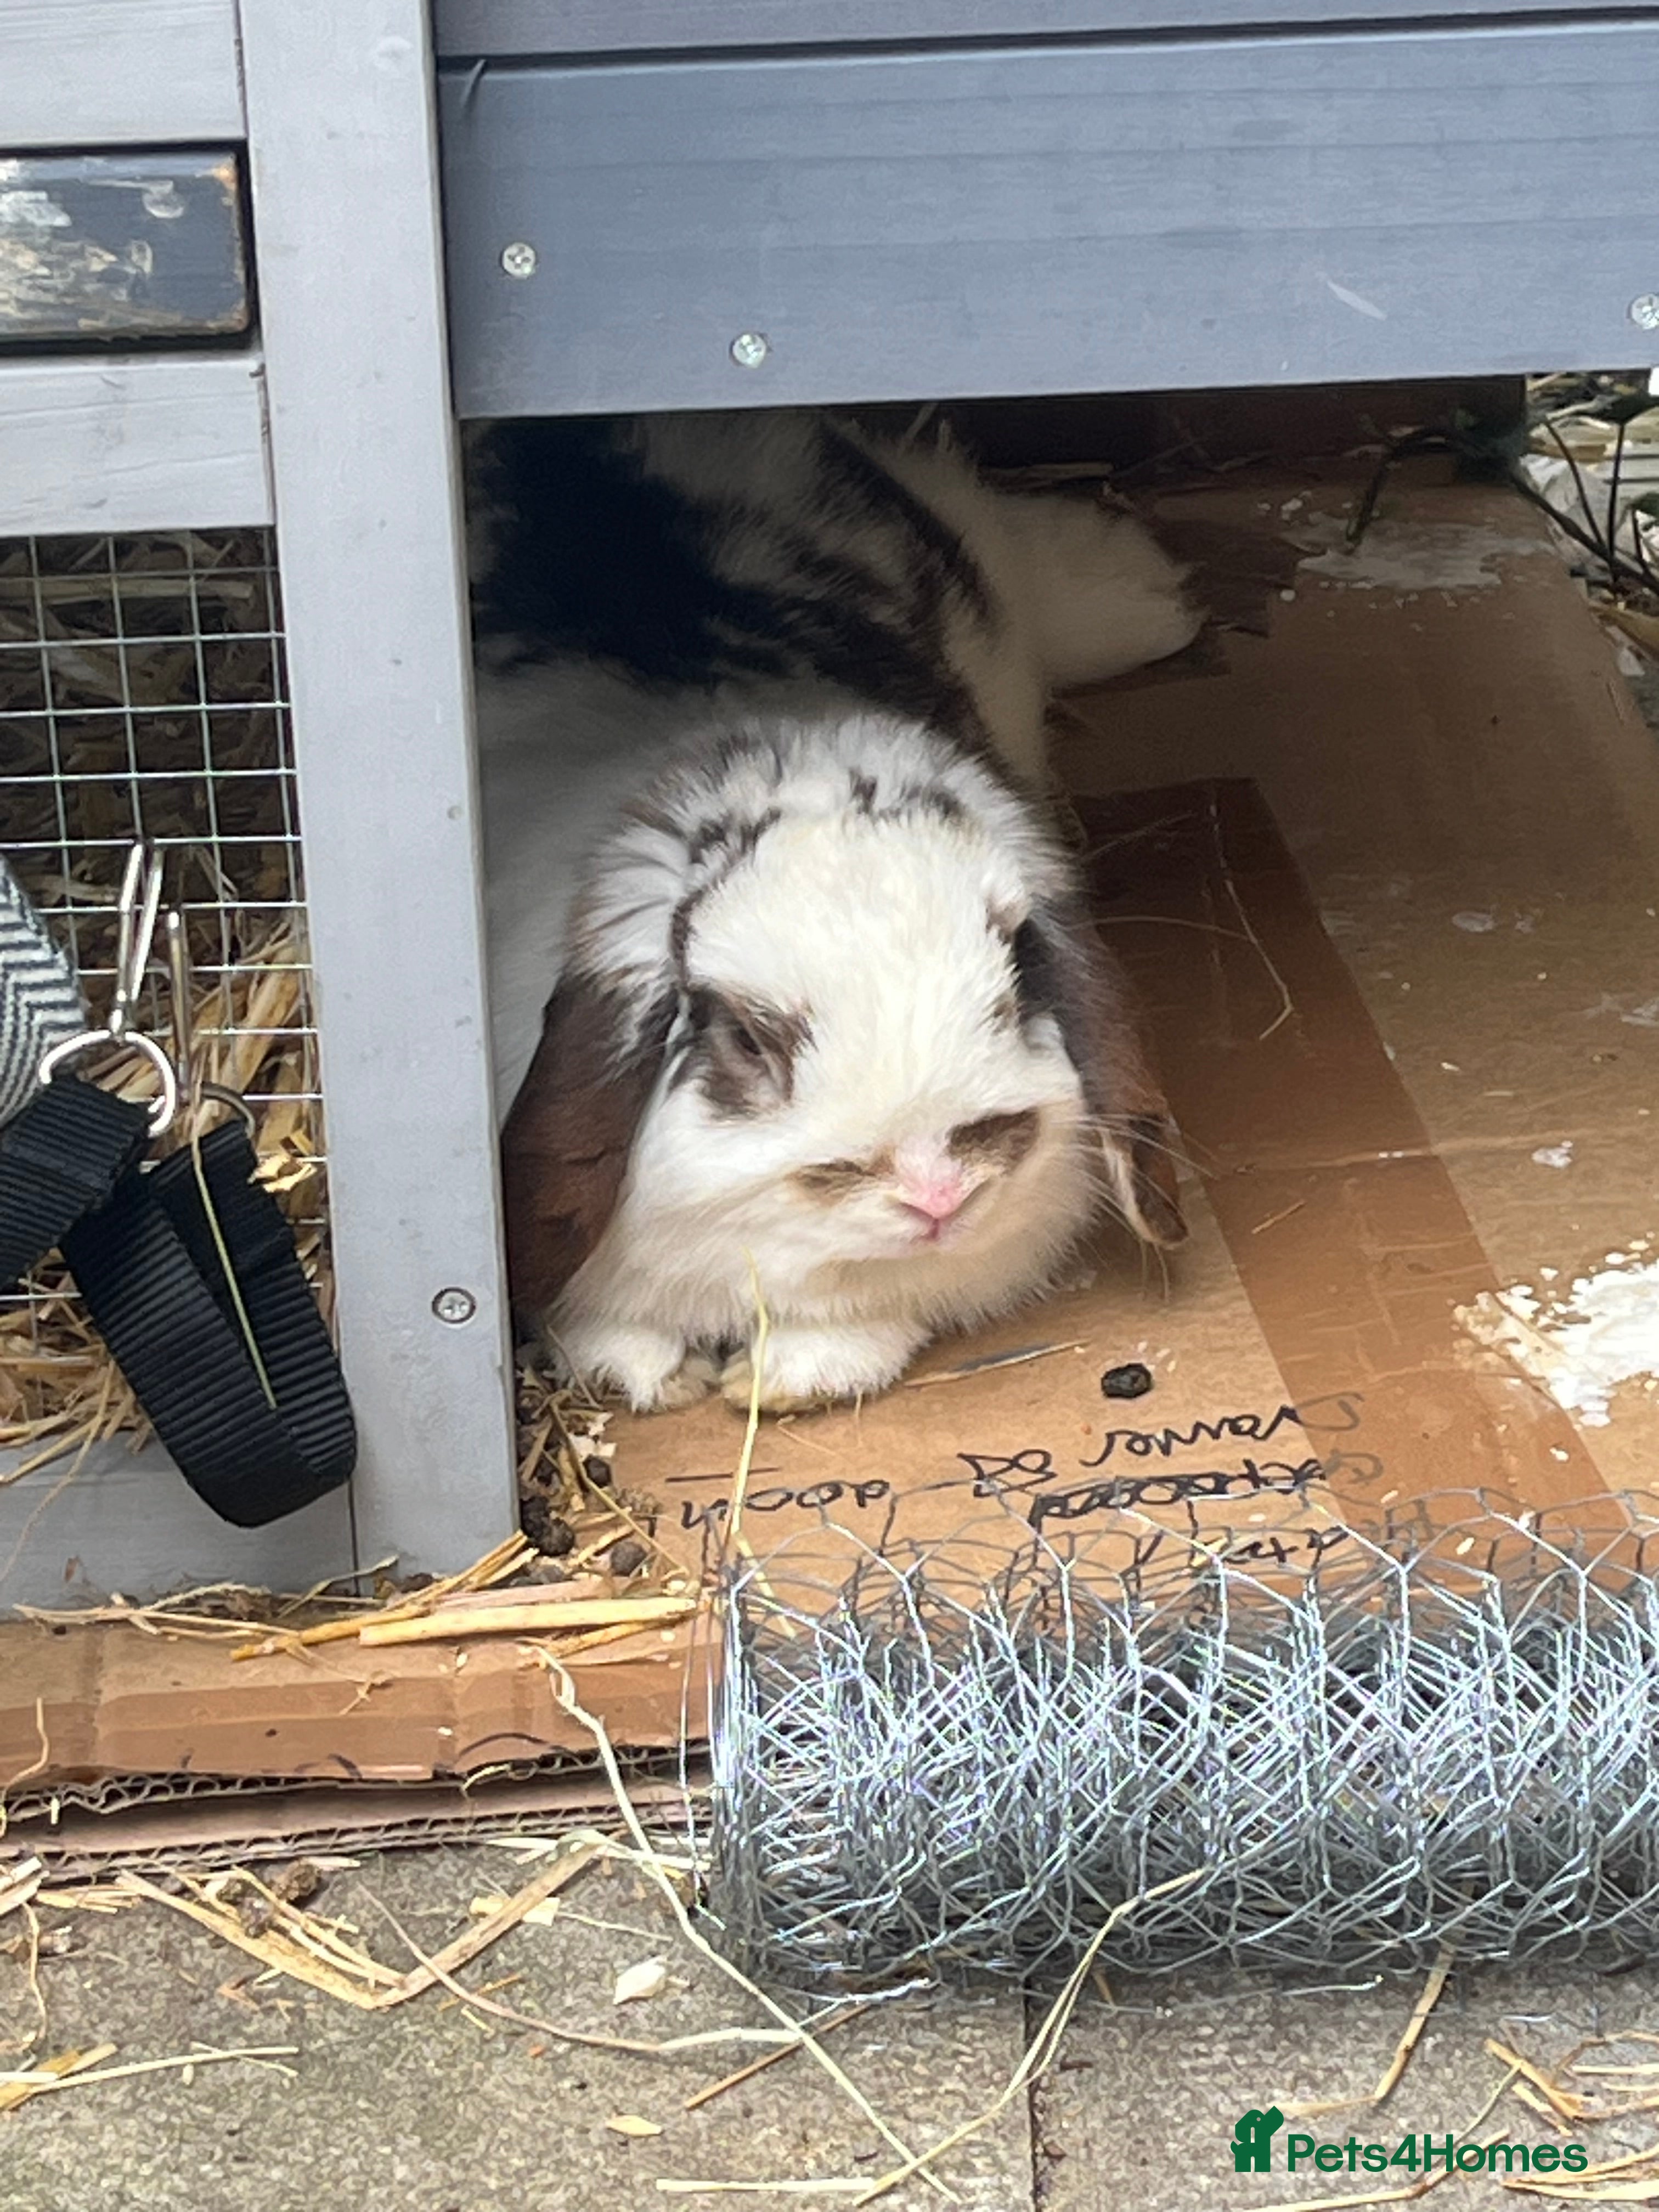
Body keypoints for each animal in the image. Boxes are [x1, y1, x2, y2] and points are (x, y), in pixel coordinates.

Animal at [470, 409, 1197, 1411]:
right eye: (746, 1039)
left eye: (1013, 985)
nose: (935, 1189)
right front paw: (655, 1374)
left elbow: (859, 1329)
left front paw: (774, 1383)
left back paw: (1149, 590)